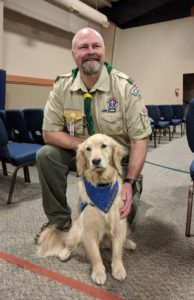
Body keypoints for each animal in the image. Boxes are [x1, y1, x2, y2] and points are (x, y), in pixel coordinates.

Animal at [37, 135, 136, 284]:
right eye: (88, 149)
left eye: (104, 146)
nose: (95, 161)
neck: (101, 186)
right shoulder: (90, 229)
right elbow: (95, 255)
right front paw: (99, 272)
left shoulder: (118, 224)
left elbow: (117, 252)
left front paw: (118, 269)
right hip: (77, 231)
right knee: (69, 244)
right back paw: (64, 252)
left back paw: (128, 242)